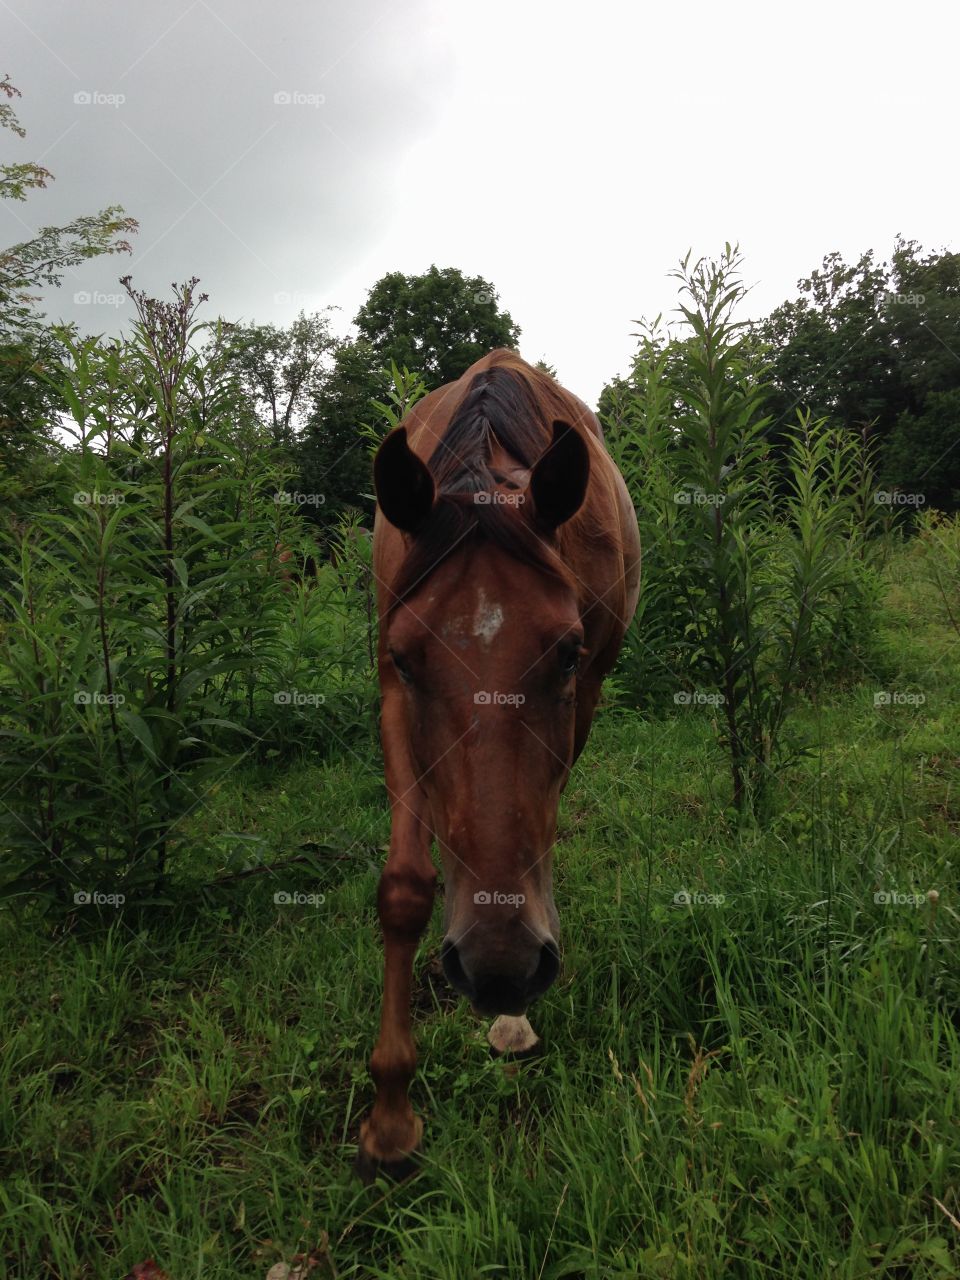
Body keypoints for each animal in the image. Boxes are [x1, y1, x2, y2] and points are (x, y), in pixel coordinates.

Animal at [358, 349, 640, 1179]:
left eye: (567, 654)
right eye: (408, 661)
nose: (500, 969)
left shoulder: (587, 688)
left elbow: (537, 820)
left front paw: (512, 1017)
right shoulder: (390, 691)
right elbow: (403, 887)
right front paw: (391, 1118)